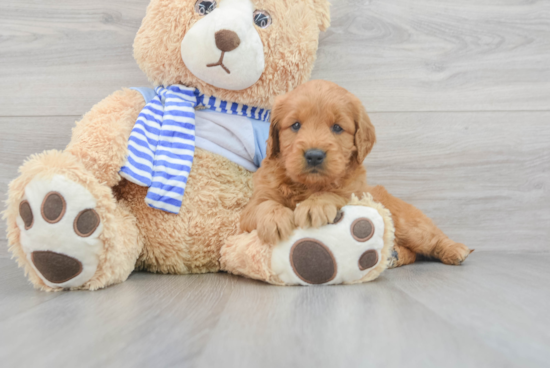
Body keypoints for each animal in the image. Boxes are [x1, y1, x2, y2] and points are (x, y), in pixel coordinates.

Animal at [243, 79, 474, 266]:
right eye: (296, 125)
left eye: (337, 128)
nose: (314, 155)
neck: (308, 186)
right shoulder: (248, 211)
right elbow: (263, 205)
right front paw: (275, 219)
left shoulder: (356, 193)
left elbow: (335, 194)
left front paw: (315, 206)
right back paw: (394, 255)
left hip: (410, 226)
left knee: (429, 239)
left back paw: (455, 249)